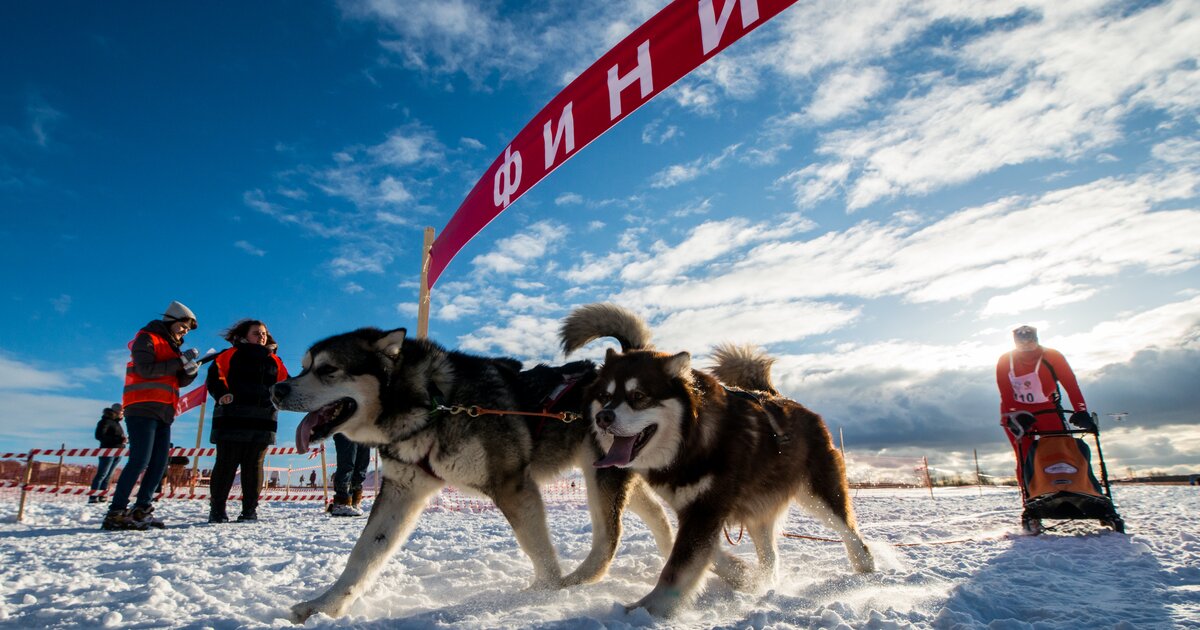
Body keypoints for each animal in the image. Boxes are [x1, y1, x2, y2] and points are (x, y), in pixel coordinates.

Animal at [268, 326, 676, 619]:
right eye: (304, 366)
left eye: (328, 370)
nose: (277, 388)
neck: (432, 402)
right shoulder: (401, 490)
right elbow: (364, 553)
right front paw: (325, 606)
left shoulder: (512, 486)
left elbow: (538, 550)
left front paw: (544, 593)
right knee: (658, 515)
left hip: (600, 477)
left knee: (611, 535)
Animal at [561, 302, 873, 614]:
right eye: (605, 396)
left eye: (638, 396)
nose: (602, 418)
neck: (692, 439)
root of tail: (785, 399)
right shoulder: (696, 511)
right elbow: (697, 553)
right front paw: (741, 575)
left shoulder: (705, 509)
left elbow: (676, 569)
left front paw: (646, 609)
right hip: (758, 511)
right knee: (771, 557)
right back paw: (764, 583)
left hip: (819, 494)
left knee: (850, 533)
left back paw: (866, 571)